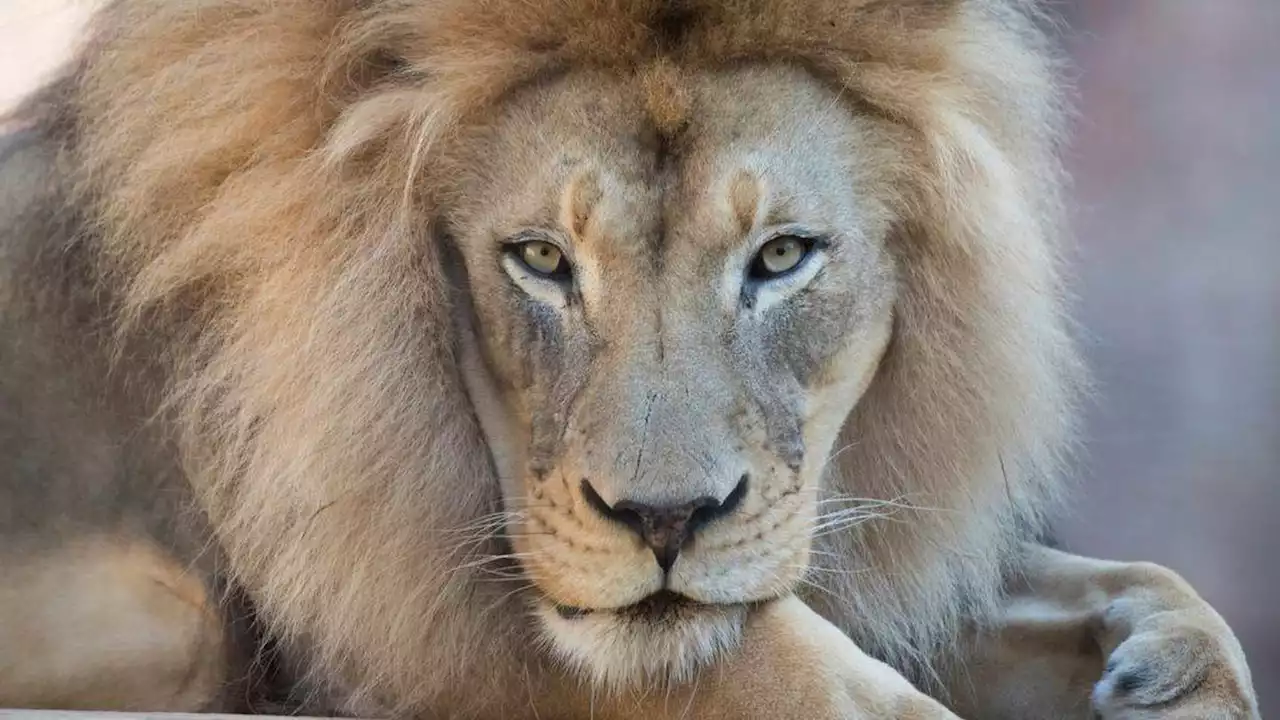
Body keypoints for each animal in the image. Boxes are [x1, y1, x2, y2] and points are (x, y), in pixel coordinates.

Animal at [0, 0, 1259, 712]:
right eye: (540, 259)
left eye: (781, 255)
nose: (664, 522)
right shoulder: (413, 611)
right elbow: (805, 682)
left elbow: (1154, 589)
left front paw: (1163, 671)